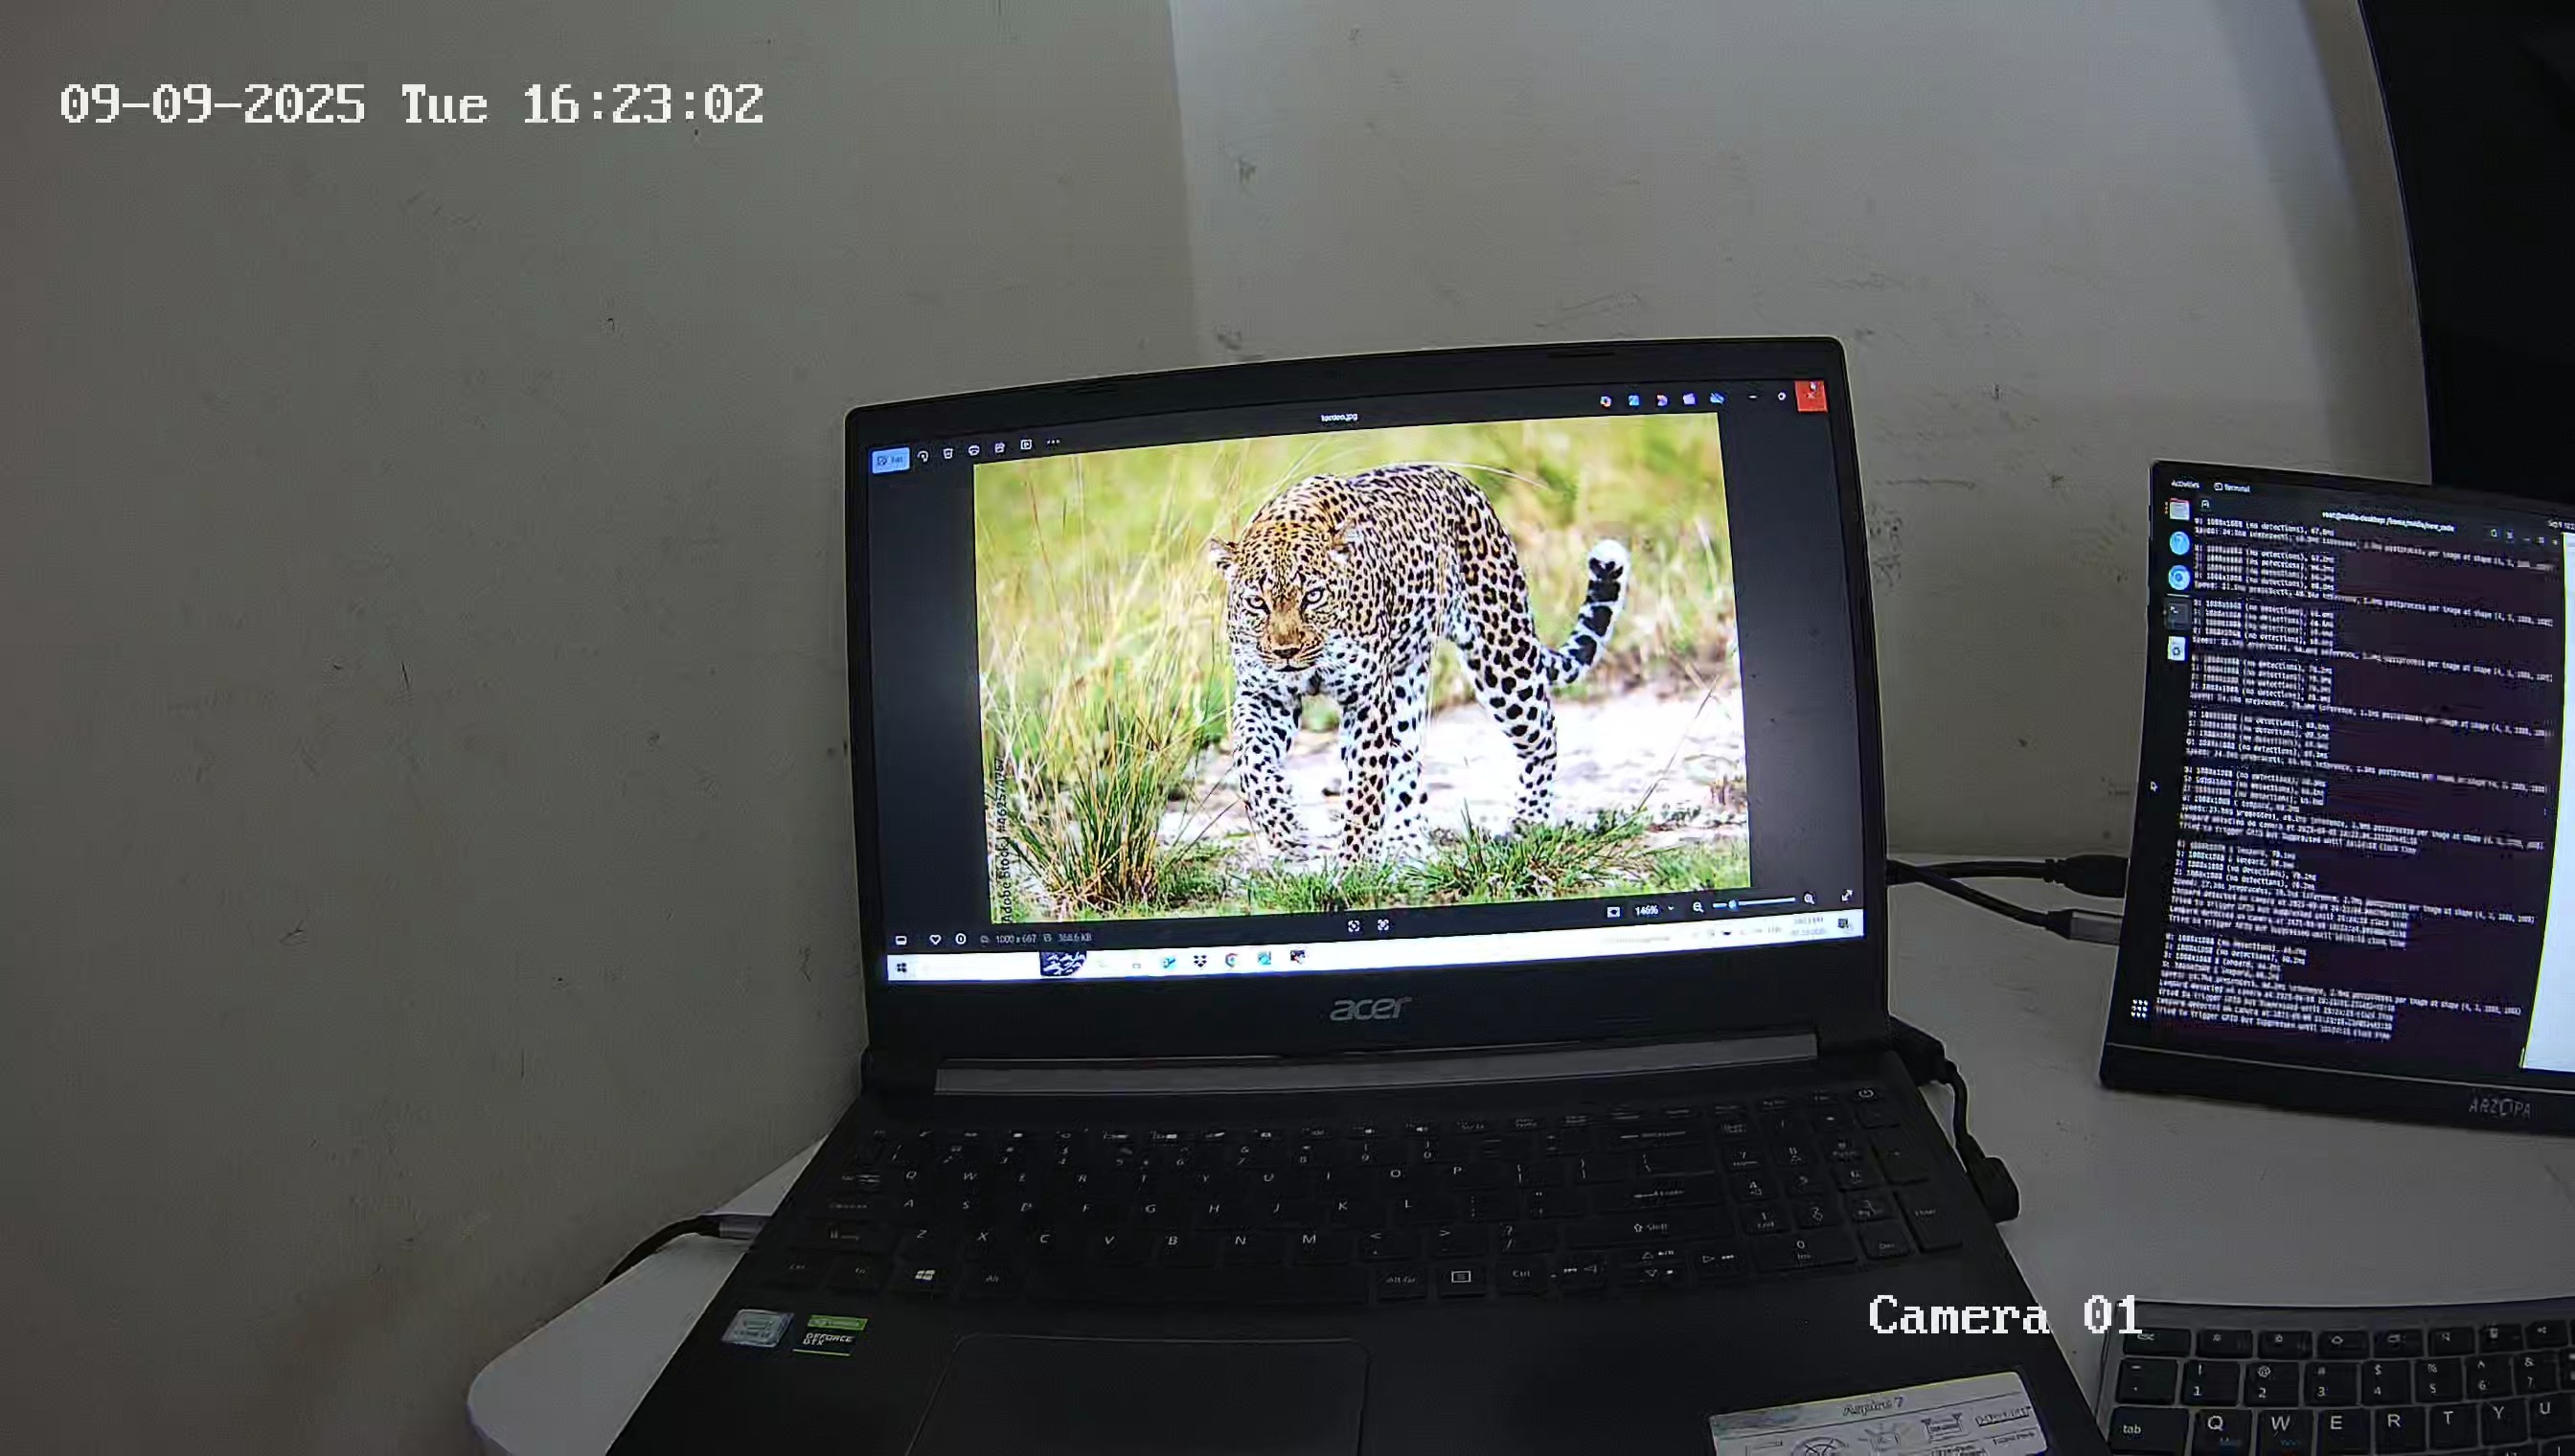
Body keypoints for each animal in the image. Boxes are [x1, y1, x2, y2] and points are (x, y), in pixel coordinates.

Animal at [1206, 463, 1630, 865]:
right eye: (1257, 603)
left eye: (1312, 596)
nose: (1286, 651)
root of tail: (1461, 482)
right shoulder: (1265, 696)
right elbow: (1249, 760)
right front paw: (1286, 830)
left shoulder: (1365, 700)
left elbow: (1364, 789)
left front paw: (1352, 866)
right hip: (1407, 683)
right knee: (1407, 765)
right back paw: (1408, 842)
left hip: (1503, 658)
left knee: (1543, 734)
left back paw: (1528, 821)